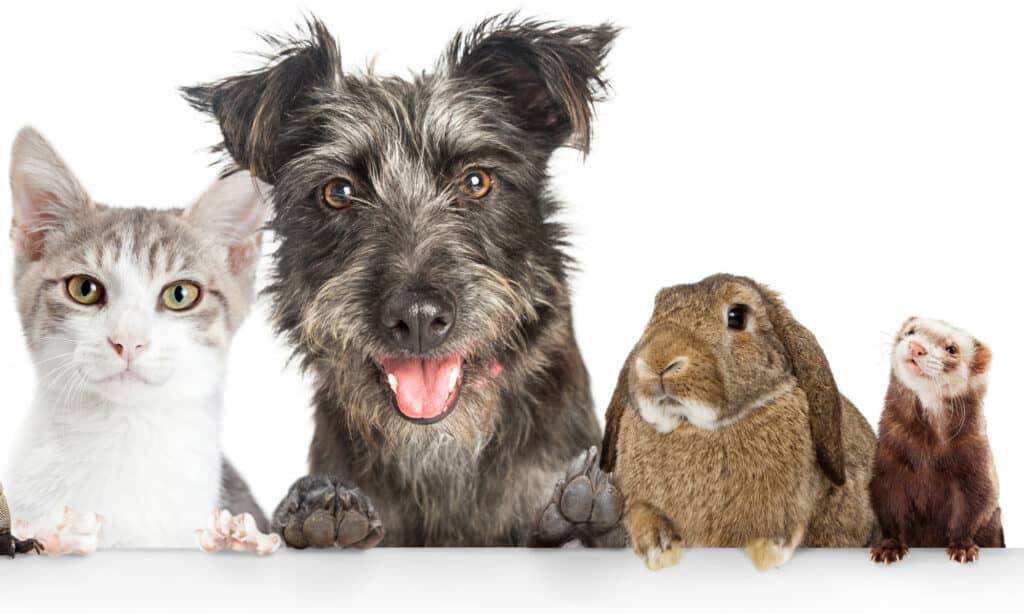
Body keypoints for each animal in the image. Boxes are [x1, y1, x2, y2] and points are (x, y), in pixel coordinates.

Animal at [598, 274, 880, 568]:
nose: (658, 361)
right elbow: (642, 517)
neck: (694, 427)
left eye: (737, 316)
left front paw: (767, 554)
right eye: (653, 316)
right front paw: (659, 549)